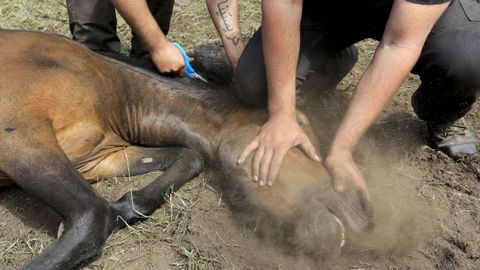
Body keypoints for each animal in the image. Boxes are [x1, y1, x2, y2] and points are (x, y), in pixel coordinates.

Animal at [0, 29, 372, 270]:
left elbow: (191, 158)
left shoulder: (99, 159)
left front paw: (125, 207)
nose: (363, 212)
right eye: (301, 124)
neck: (108, 88)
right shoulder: (20, 134)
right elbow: (92, 215)